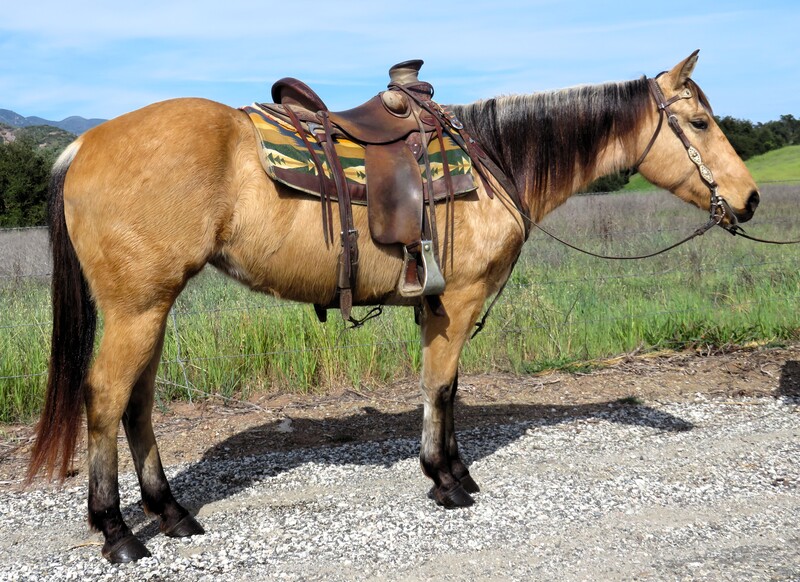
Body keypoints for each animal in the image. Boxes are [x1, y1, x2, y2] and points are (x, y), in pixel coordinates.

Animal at [27, 51, 759, 563]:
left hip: (151, 308)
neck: (494, 160)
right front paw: (444, 480)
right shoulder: (458, 300)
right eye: (698, 122)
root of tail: (83, 145)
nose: (750, 199)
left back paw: (172, 513)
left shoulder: (439, 306)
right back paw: (118, 532)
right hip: (137, 308)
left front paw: (457, 470)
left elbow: (450, 389)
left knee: (138, 403)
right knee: (106, 399)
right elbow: (438, 387)